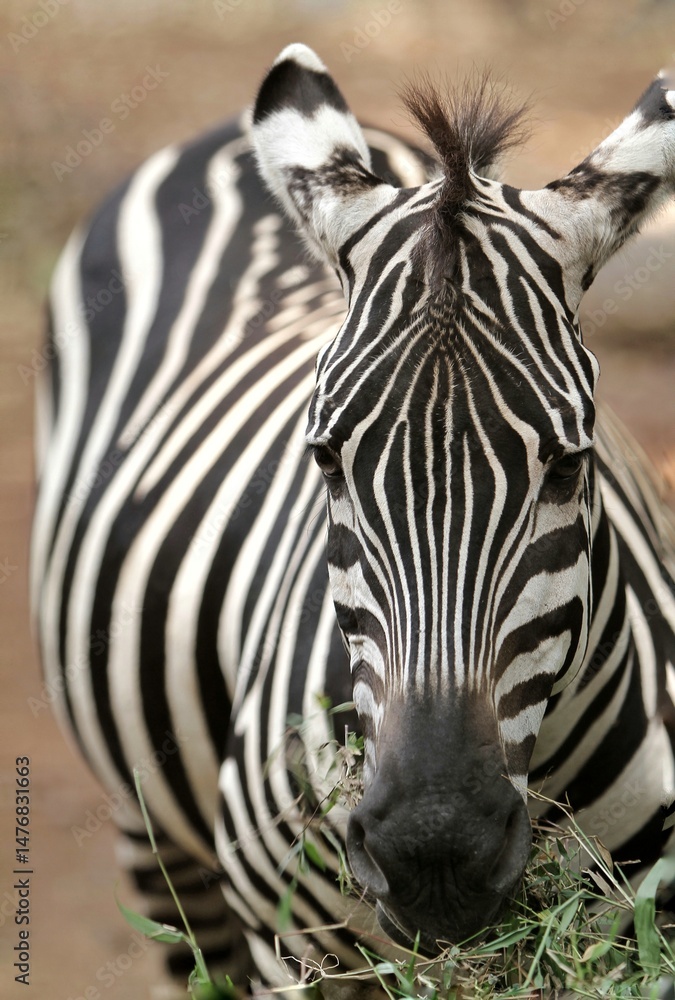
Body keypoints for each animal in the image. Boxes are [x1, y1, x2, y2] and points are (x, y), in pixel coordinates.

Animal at [32, 43, 675, 991]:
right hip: (158, 839)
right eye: (326, 461)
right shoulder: (294, 956)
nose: (433, 854)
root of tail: (224, 138)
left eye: (566, 464)